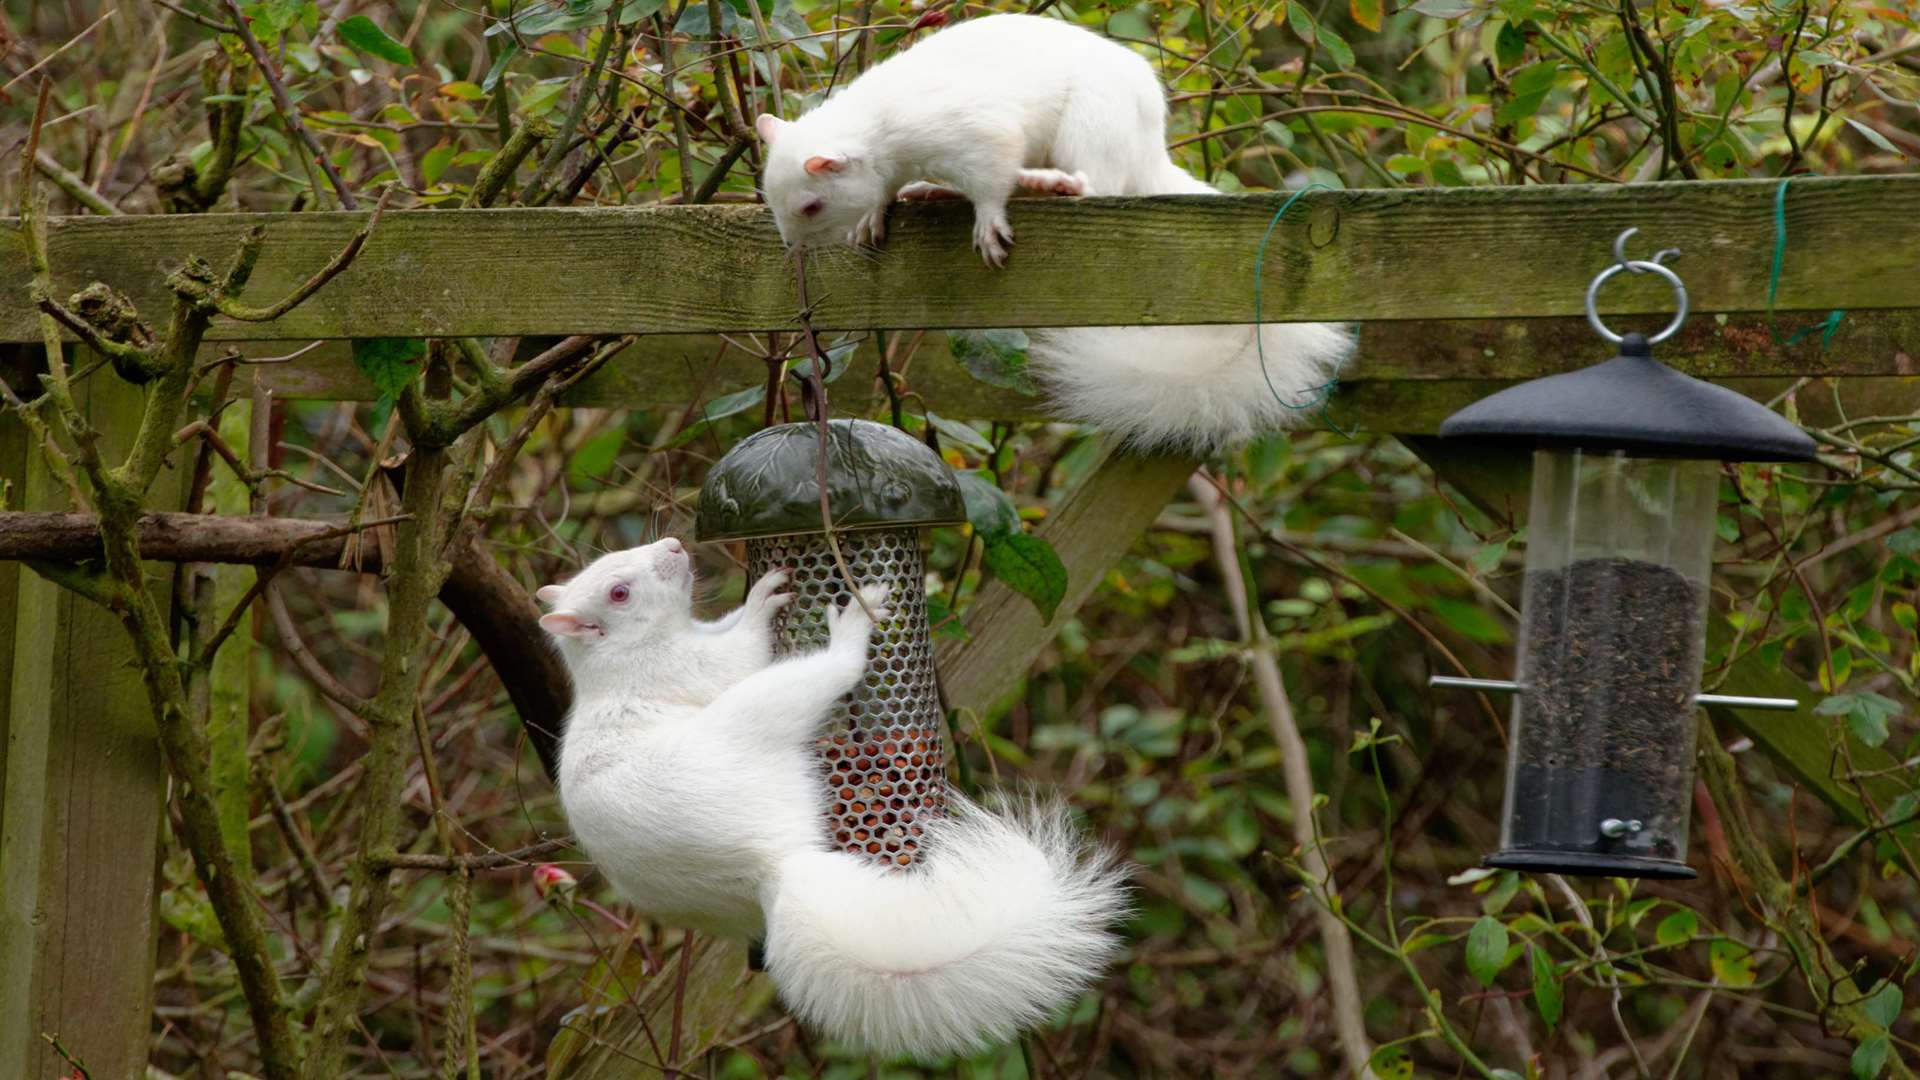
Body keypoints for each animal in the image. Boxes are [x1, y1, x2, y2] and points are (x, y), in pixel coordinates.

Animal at [533, 534, 1121, 1053]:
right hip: (752, 716)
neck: (618, 656)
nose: (675, 545)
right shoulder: (683, 669)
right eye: (619, 592)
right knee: (823, 675)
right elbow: (738, 654)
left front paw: (747, 600)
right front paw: (760, 600)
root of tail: (775, 864)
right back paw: (851, 632)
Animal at [748, 11, 1351, 449]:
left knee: (1093, 185)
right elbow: (886, 192)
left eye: (810, 207)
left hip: (1092, 127)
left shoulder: (980, 133)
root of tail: (1148, 151)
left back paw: (1046, 184)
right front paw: (875, 215)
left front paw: (988, 222)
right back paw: (939, 190)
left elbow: (992, 183)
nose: (790, 247)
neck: (879, 135)